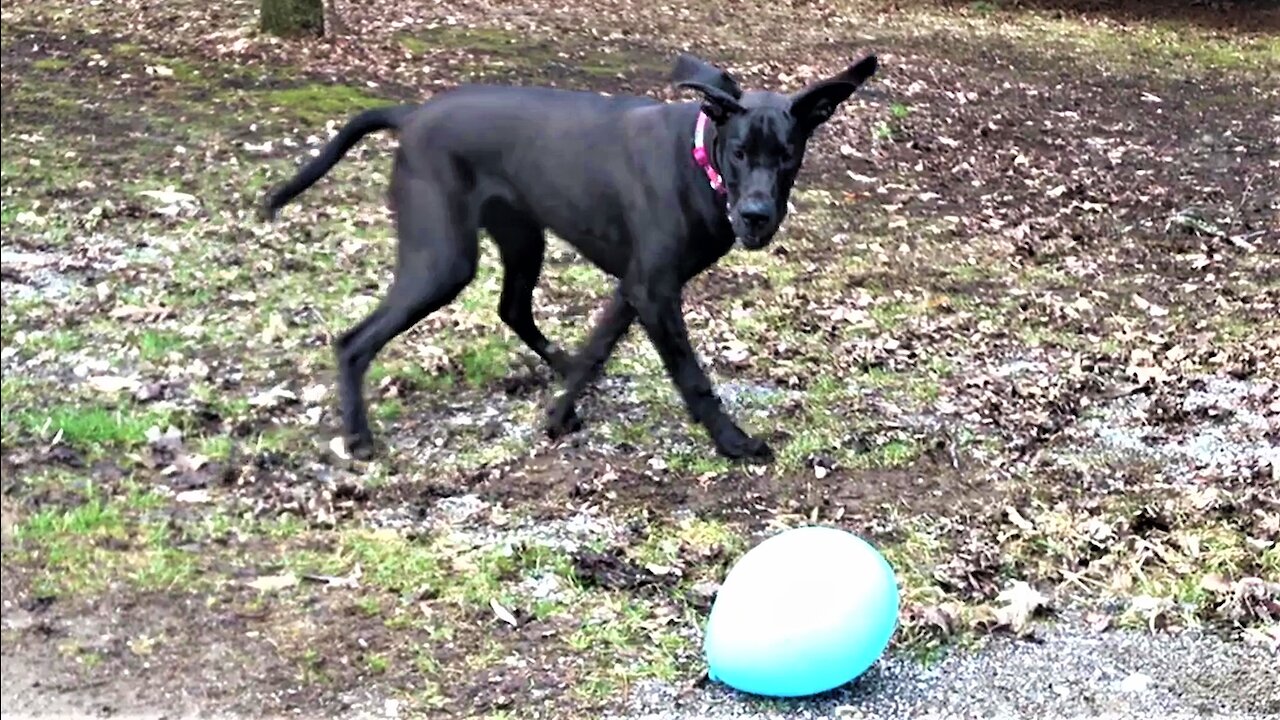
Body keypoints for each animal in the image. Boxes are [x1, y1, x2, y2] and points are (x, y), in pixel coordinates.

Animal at [262, 53, 880, 461]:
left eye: (787, 155)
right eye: (739, 152)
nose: (755, 215)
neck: (698, 162)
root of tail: (411, 116)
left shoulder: (634, 288)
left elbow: (595, 354)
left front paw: (559, 414)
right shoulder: (654, 291)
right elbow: (691, 376)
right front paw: (733, 441)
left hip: (521, 237)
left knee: (513, 308)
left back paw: (554, 362)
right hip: (443, 260)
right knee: (354, 341)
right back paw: (359, 436)